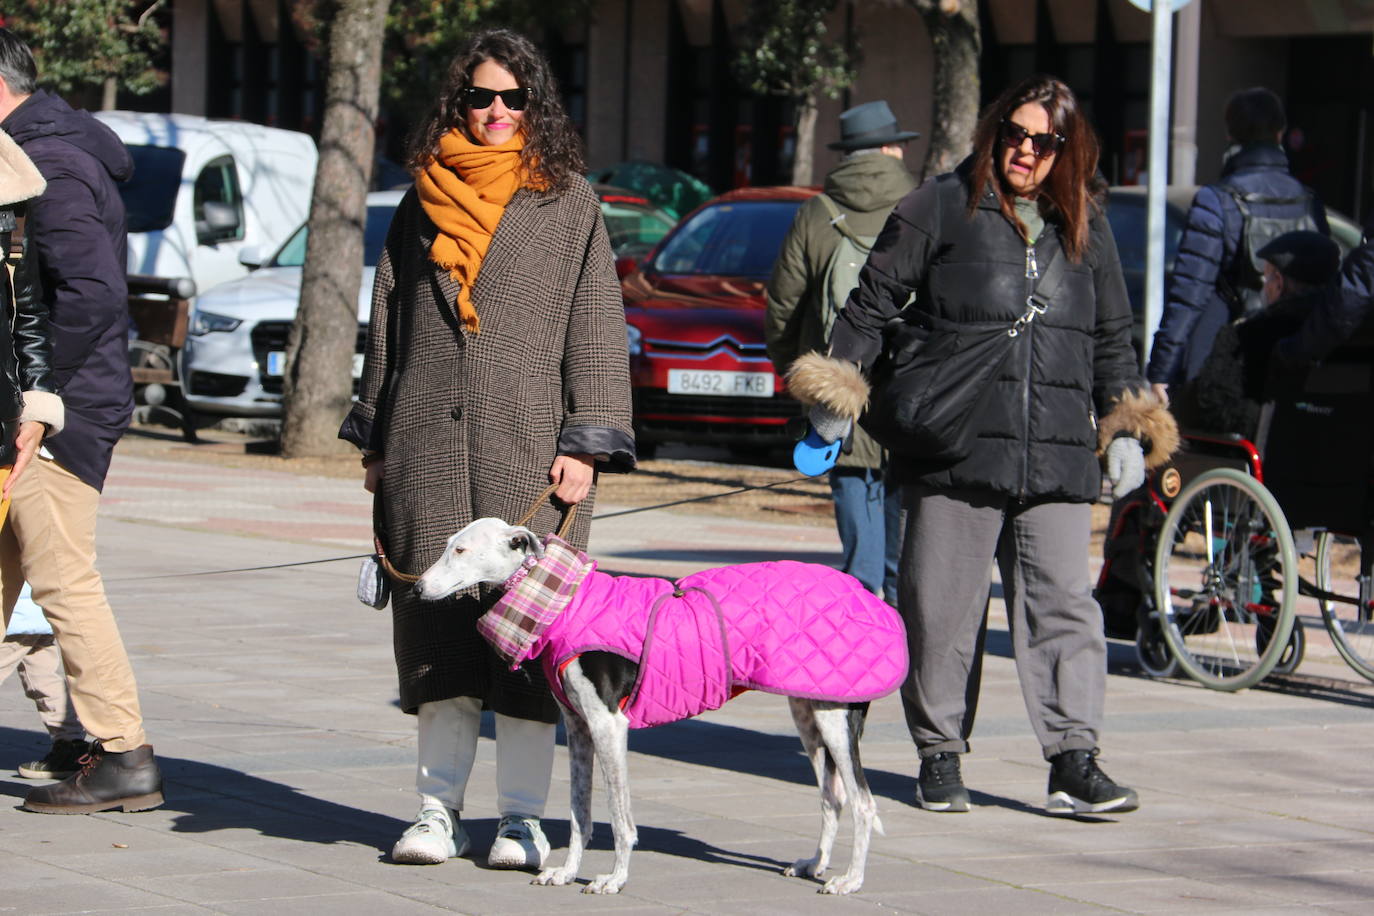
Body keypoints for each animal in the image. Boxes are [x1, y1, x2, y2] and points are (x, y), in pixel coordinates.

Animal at [412, 516, 906, 895]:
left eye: (460, 549)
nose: (416, 588)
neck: (562, 601)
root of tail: (873, 600)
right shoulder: (578, 728)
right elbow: (579, 814)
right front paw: (567, 873)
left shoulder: (609, 725)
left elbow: (619, 816)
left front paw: (613, 880)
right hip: (809, 715)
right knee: (832, 796)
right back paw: (814, 864)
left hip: (835, 719)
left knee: (863, 802)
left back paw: (850, 881)